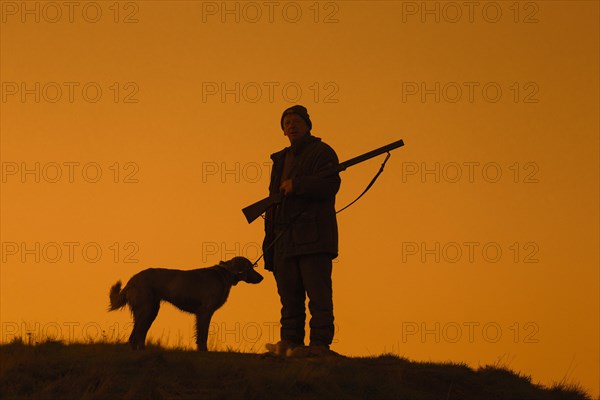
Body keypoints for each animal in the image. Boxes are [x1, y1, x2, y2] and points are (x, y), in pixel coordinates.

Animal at [108, 256, 262, 350]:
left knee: (137, 335)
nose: (262, 277)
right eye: (250, 268)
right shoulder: (205, 312)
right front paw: (203, 351)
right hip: (146, 310)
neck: (224, 275)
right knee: (135, 335)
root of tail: (133, 279)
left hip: (151, 312)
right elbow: (203, 335)